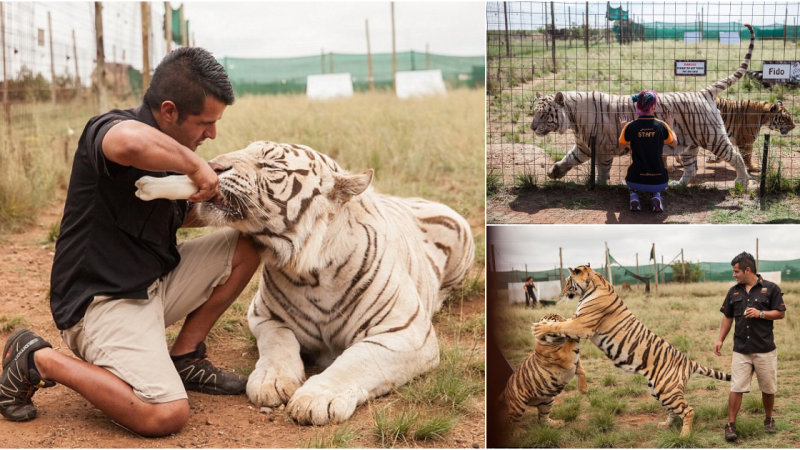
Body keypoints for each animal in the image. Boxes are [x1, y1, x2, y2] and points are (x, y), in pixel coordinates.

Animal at [194, 141, 476, 426]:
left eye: (270, 165)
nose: (211, 166)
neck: (310, 274)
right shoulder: (264, 316)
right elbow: (278, 344)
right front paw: (270, 381)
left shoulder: (406, 332)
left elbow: (357, 360)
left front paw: (316, 399)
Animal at [532, 264, 732, 436]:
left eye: (568, 281)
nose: (563, 292)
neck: (593, 284)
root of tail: (688, 360)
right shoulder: (578, 321)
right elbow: (564, 324)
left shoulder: (582, 324)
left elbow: (560, 326)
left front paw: (540, 328)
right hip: (658, 390)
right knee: (675, 412)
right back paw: (665, 425)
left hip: (667, 390)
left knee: (688, 411)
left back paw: (684, 436)